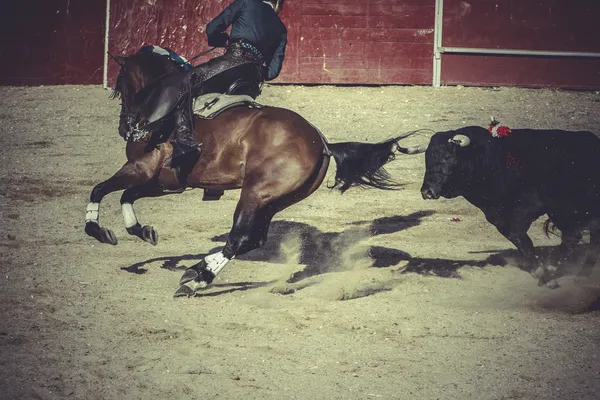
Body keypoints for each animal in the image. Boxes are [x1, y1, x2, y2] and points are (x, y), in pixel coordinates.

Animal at [85, 48, 422, 296]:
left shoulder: (140, 169)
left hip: (255, 194)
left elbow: (100, 189)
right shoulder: (163, 181)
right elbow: (126, 196)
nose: (125, 127)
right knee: (253, 239)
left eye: (120, 85)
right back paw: (198, 273)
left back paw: (195, 278)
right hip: (273, 200)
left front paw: (97, 230)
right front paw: (141, 230)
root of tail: (322, 142)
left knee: (240, 238)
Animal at [420, 126, 600, 288]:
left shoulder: (530, 208)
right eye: (427, 158)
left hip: (565, 211)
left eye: (447, 156)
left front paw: (546, 273)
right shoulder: (497, 216)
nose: (427, 191)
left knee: (577, 237)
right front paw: (542, 272)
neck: (491, 162)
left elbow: (520, 236)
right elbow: (519, 239)